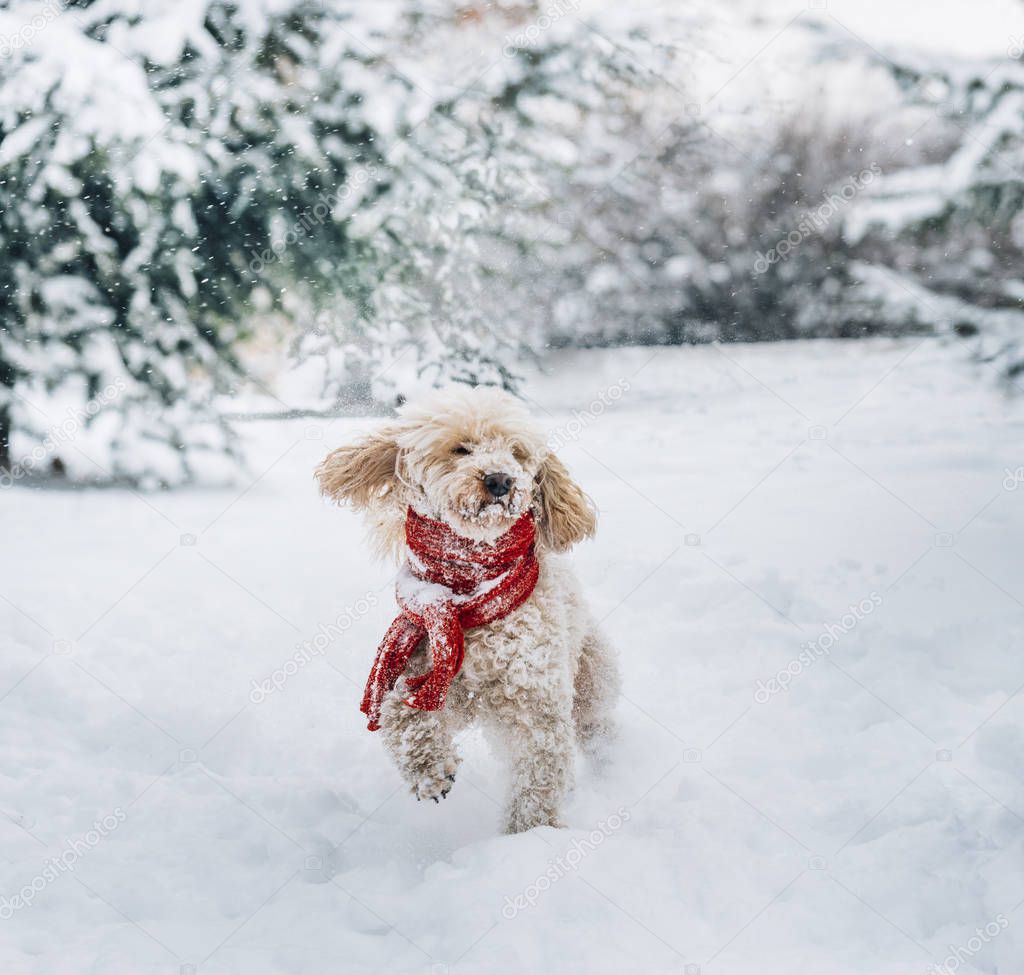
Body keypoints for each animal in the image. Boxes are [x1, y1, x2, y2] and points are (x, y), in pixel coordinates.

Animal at [313, 385, 614, 835]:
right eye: (461, 449)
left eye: (516, 453)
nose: (500, 480)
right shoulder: (426, 667)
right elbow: (399, 713)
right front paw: (431, 771)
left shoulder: (535, 701)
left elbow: (538, 776)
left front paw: (528, 835)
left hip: (591, 682)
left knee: (597, 729)